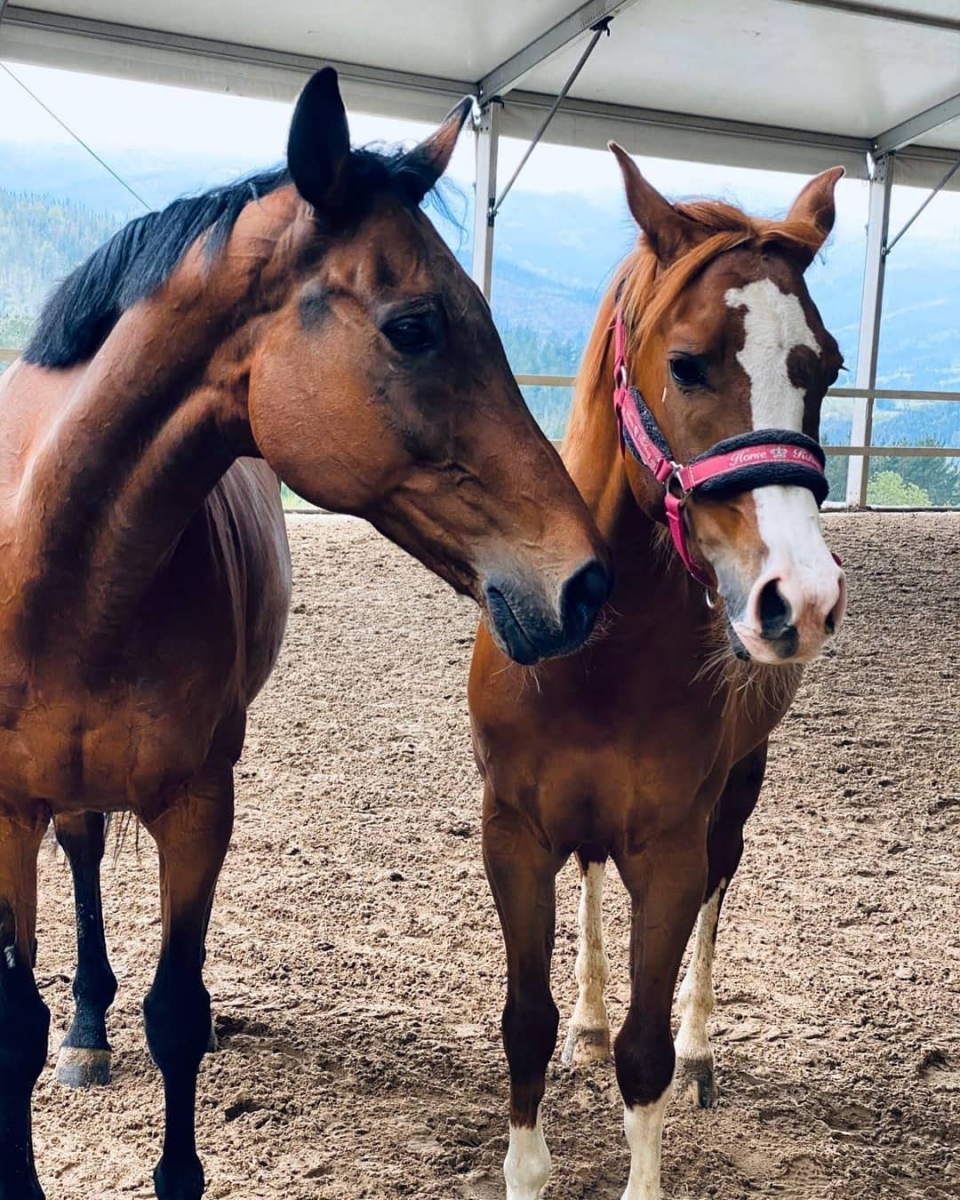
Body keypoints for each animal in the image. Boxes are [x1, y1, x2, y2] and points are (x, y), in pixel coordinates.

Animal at [0, 68, 612, 1200]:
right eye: (414, 327)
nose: (587, 581)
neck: (55, 563)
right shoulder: (3, 811)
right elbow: (14, 1022)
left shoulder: (200, 802)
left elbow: (178, 1011)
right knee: (84, 854)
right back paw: (84, 1028)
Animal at [468, 148, 847, 1199]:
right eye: (686, 363)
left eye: (828, 368)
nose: (800, 599)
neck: (595, 655)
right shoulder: (514, 833)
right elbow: (525, 1024)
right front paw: (532, 1154)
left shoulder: (672, 852)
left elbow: (649, 1058)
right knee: (594, 879)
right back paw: (592, 1017)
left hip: (737, 794)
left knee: (721, 892)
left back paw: (702, 1042)